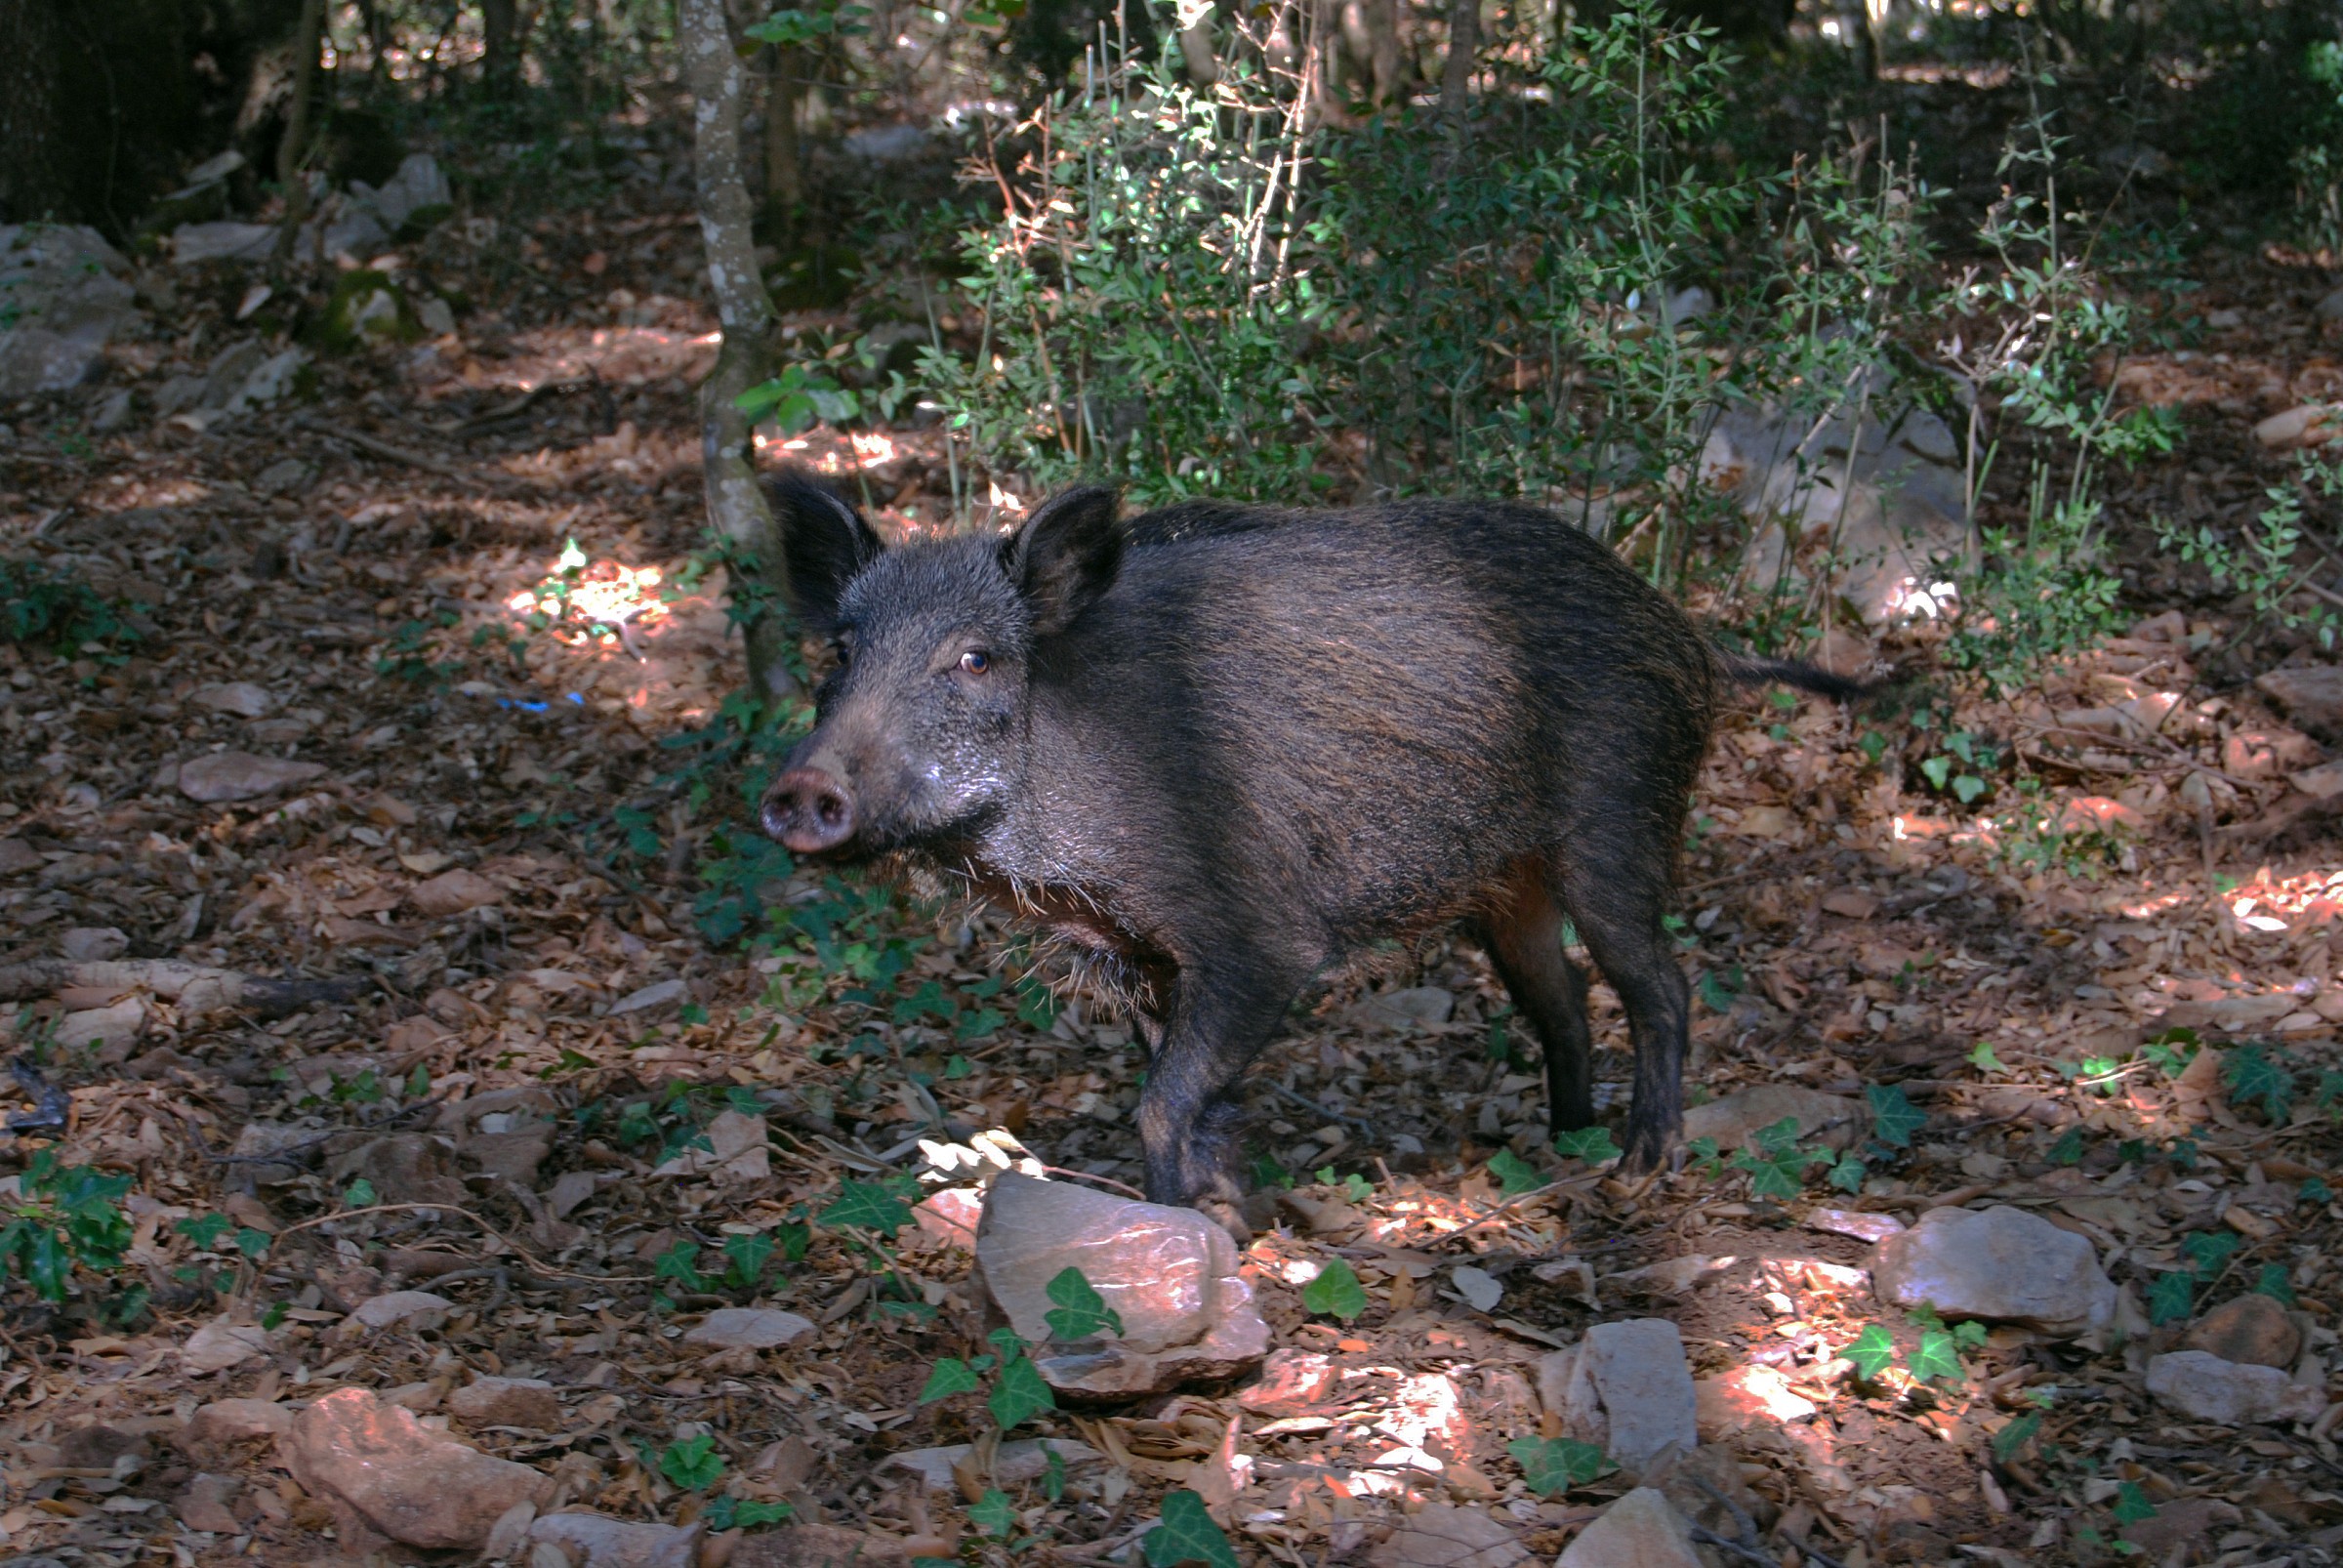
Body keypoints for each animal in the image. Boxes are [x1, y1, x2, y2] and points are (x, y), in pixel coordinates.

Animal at [758, 473, 1863, 1227]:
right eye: (840, 652)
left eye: (976, 657)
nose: (800, 790)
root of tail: (1689, 634)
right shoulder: (1147, 955)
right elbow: (1199, 1100)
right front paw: (1234, 1215)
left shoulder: (1263, 938)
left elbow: (1162, 1106)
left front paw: (1184, 1230)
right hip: (1508, 891)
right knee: (1568, 1006)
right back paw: (1562, 1142)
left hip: (1619, 826)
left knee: (1661, 986)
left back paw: (1641, 1167)